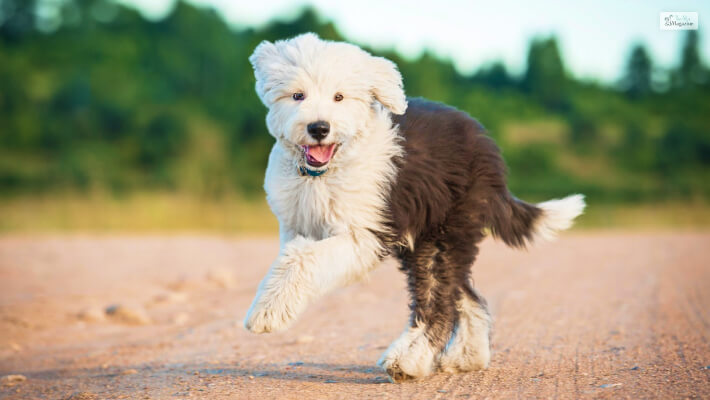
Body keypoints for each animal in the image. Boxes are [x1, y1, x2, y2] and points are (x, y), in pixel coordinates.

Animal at [242, 32, 588, 382]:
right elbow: (291, 260)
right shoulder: (295, 224)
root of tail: (488, 149)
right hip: (431, 238)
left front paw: (266, 313)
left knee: (440, 302)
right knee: (465, 296)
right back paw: (467, 357)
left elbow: (302, 259)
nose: (319, 128)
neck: (323, 175)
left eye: (339, 97)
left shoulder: (364, 234)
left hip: (443, 234)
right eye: (297, 95)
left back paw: (407, 360)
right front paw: (272, 304)